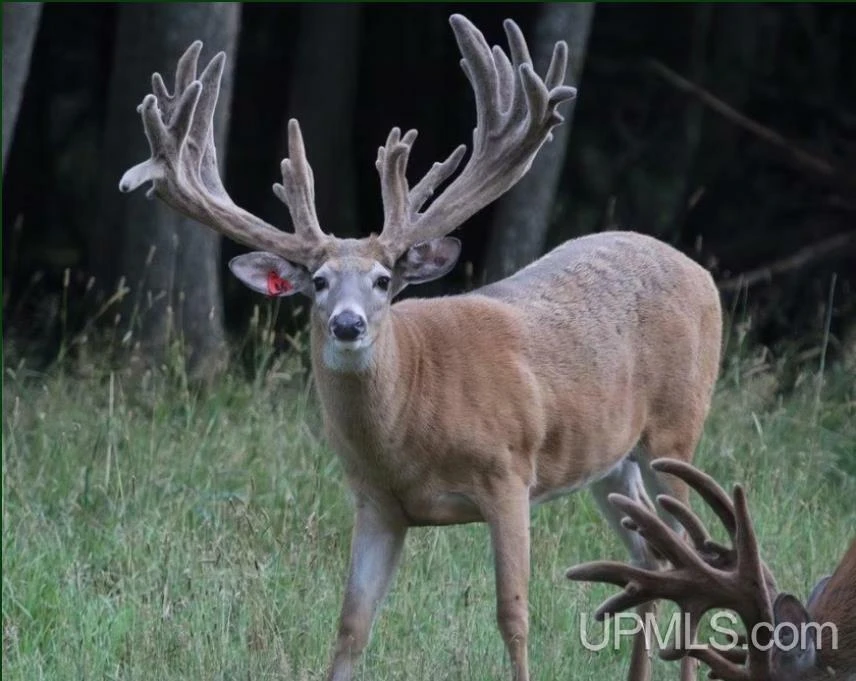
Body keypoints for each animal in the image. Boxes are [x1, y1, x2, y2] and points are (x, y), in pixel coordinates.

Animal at [119, 14, 723, 681]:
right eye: (318, 282)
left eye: (384, 281)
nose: (348, 325)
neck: (411, 422)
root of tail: (701, 272)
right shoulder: (376, 503)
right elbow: (350, 627)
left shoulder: (510, 471)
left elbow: (513, 616)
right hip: (612, 460)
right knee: (651, 556)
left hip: (676, 427)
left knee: (687, 549)